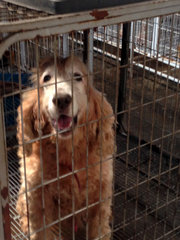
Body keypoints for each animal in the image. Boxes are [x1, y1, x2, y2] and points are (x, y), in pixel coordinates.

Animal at [15, 55, 114, 240]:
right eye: (46, 78)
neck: (68, 151)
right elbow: (40, 230)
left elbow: (99, 228)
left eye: (77, 76)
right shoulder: (37, 197)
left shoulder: (101, 193)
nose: (61, 99)